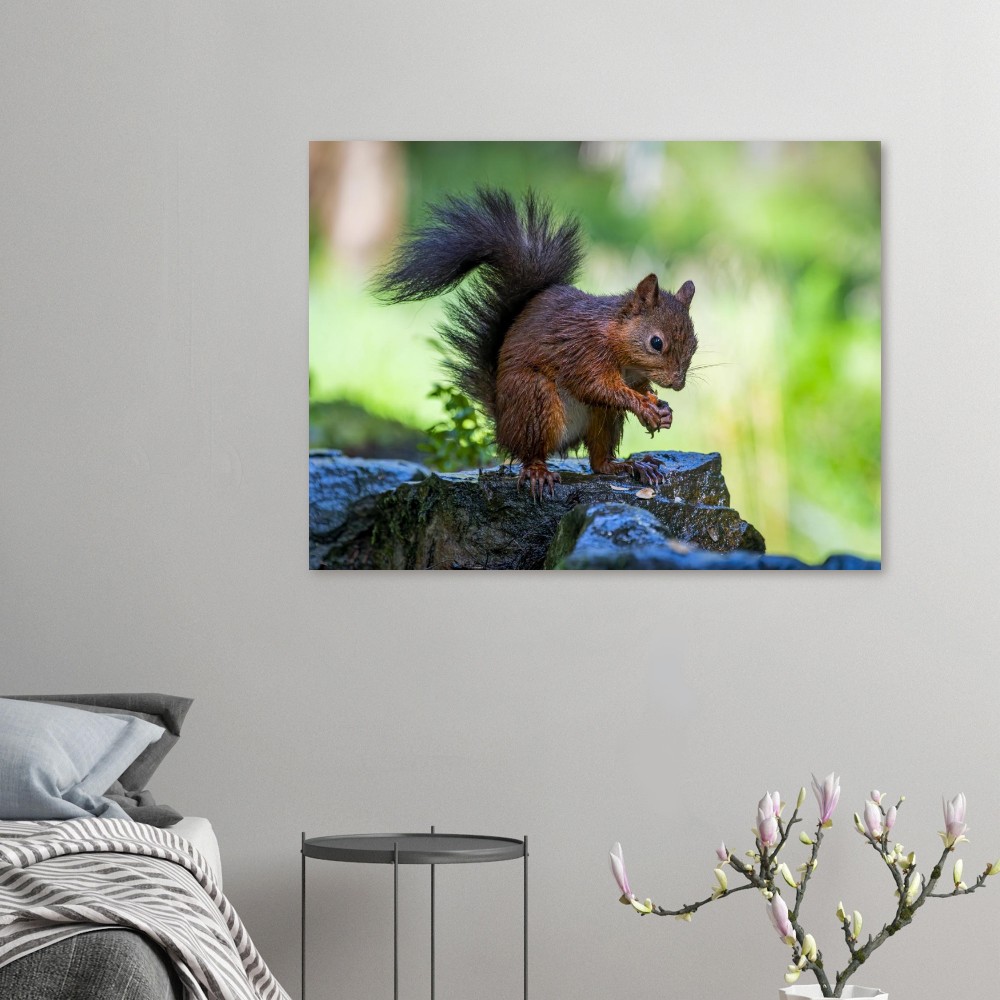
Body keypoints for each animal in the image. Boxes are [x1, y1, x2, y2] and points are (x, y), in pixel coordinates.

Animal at [374, 188, 698, 498]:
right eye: (656, 342)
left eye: (694, 344)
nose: (678, 384)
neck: (620, 346)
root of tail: (503, 425)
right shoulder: (583, 352)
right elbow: (597, 386)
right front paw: (644, 406)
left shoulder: (631, 375)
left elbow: (636, 389)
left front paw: (661, 408)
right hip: (534, 400)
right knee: (531, 452)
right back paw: (538, 471)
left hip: (602, 418)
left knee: (598, 461)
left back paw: (628, 466)